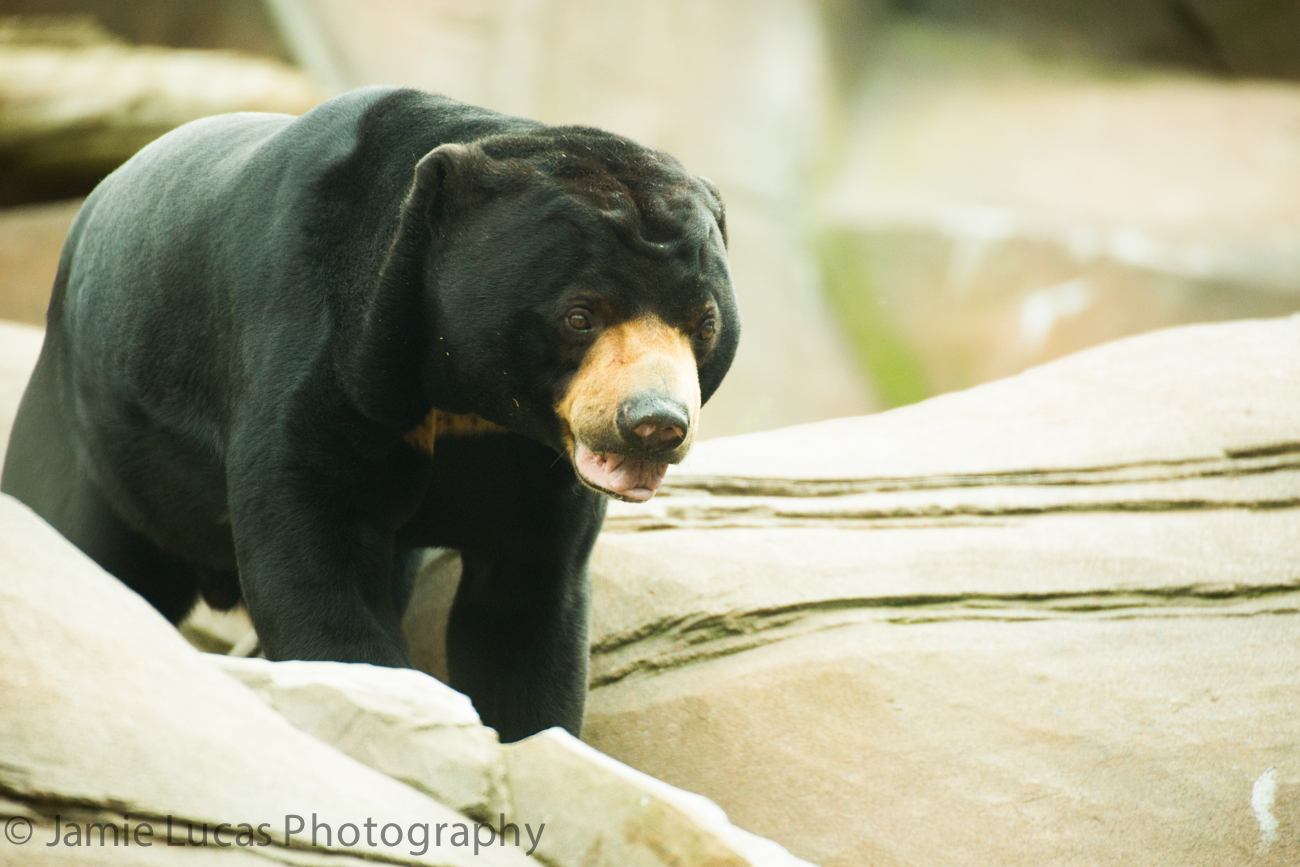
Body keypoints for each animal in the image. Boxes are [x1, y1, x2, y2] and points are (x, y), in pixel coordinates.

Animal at [0, 86, 739, 743]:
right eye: (580, 316)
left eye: (703, 324)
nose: (655, 423)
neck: (469, 400)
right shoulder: (325, 351)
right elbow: (315, 549)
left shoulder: (536, 455)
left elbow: (525, 600)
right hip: (91, 419)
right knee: (87, 539)